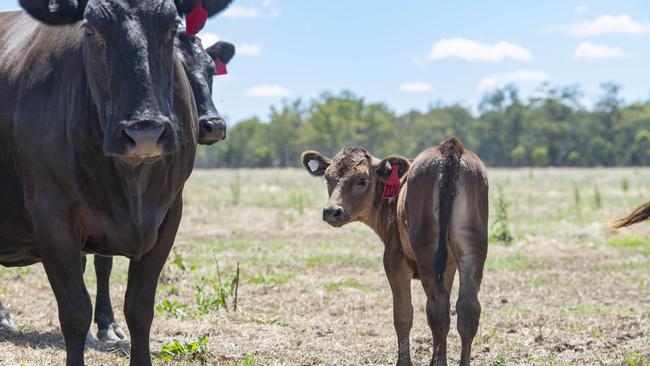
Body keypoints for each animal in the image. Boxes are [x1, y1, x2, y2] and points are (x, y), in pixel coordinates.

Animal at [0, 1, 232, 364]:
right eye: (91, 29)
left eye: (170, 26)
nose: (144, 132)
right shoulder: (52, 214)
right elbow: (75, 311)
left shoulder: (168, 214)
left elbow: (138, 307)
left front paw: (111, 326)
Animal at [302, 138, 488, 366]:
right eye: (328, 177)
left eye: (362, 179)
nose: (332, 211)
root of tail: (449, 147)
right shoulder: (449, 266)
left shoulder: (394, 260)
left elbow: (402, 314)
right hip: (472, 249)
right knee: (467, 308)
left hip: (428, 251)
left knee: (438, 308)